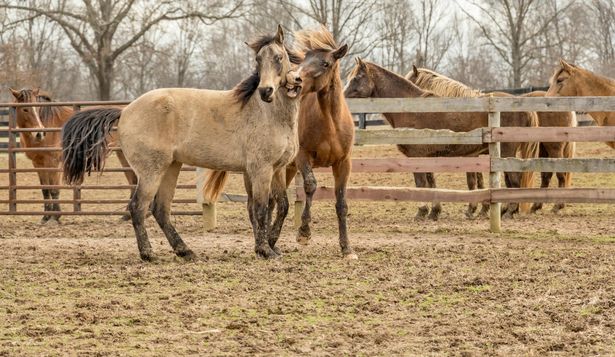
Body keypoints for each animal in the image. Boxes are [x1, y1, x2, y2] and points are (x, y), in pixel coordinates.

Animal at [62, 24, 304, 258]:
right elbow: (261, 208)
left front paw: (271, 246)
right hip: (151, 171)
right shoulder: (260, 169)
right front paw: (265, 250)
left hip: (171, 167)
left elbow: (281, 206)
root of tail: (125, 111)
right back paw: (148, 254)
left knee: (160, 209)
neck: (267, 114)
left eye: (278, 57)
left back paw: (184, 251)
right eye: (258, 60)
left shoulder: (277, 169)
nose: (266, 91)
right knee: (138, 207)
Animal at [410, 67, 540, 217]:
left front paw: (471, 209)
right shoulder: (475, 155)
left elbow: (471, 182)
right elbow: (479, 182)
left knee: (514, 179)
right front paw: (482, 209)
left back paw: (510, 210)